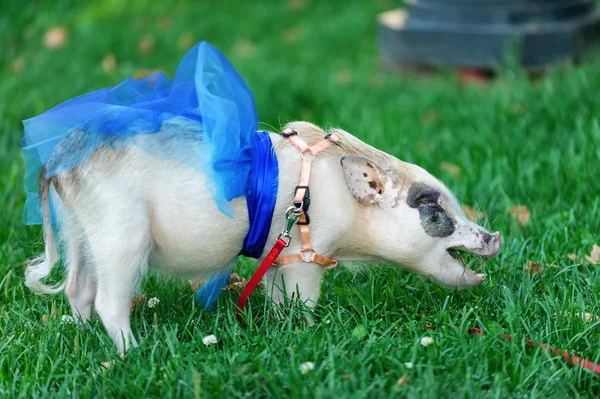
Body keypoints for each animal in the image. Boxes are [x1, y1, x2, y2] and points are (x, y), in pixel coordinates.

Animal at [24, 120, 502, 352]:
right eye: (432, 206)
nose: (495, 236)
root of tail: (57, 161)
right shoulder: (311, 252)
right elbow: (304, 298)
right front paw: (310, 331)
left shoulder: (278, 253)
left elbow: (275, 294)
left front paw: (277, 326)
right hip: (120, 232)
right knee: (109, 300)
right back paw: (133, 353)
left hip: (79, 230)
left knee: (78, 288)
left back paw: (85, 336)